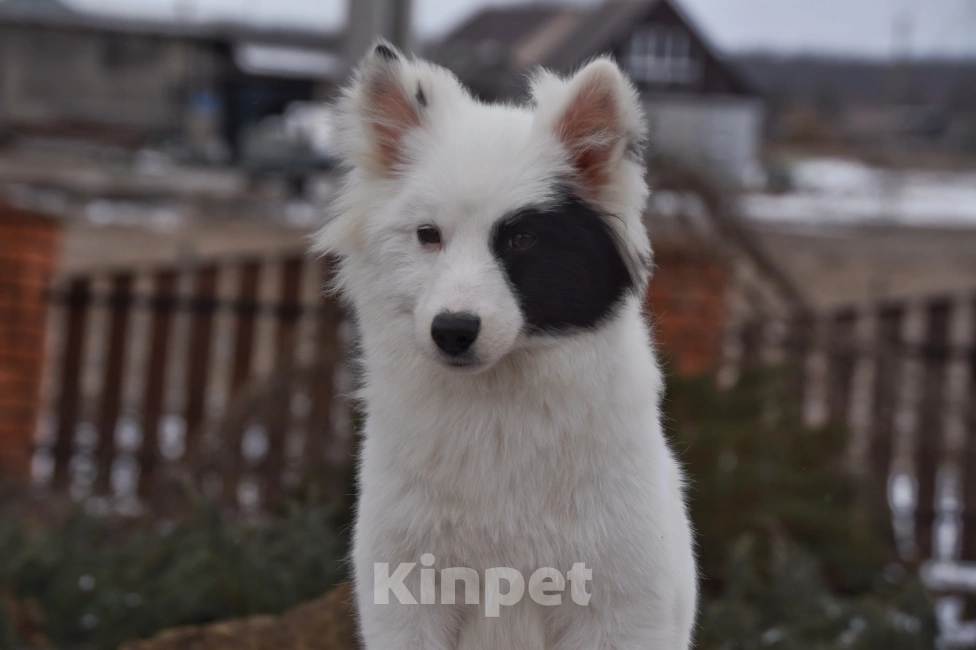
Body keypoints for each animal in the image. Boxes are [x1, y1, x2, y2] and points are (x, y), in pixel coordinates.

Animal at [316, 41, 696, 648]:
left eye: (521, 239)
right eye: (428, 235)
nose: (452, 329)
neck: (494, 415)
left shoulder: (618, 609)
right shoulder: (406, 599)